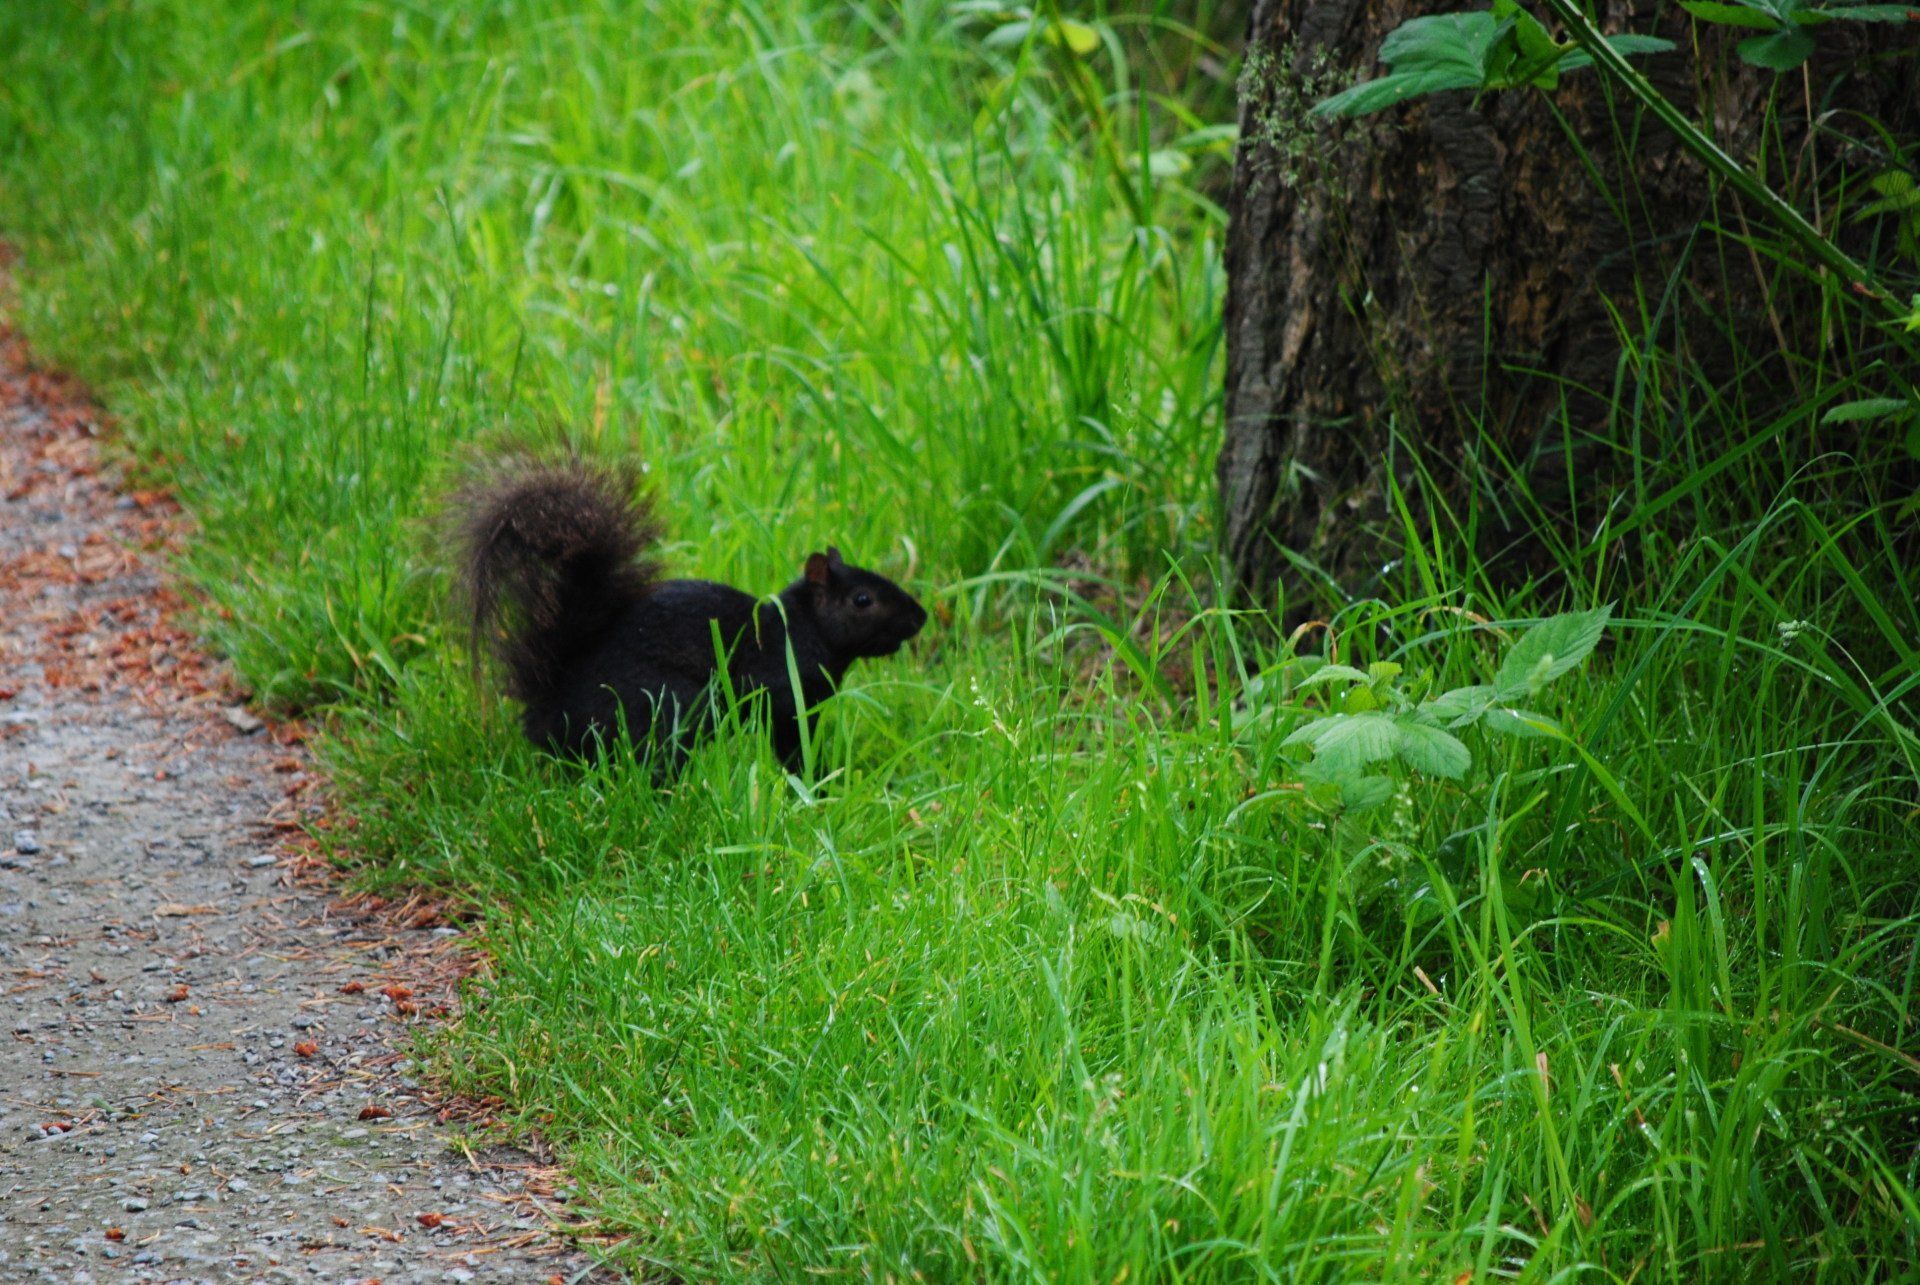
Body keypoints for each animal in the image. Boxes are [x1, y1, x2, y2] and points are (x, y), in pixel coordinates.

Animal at [450, 454, 928, 768]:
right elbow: (791, 742)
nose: (920, 617)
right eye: (862, 600)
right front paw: (815, 782)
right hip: (667, 704)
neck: (800, 629)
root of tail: (551, 707)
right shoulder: (781, 692)